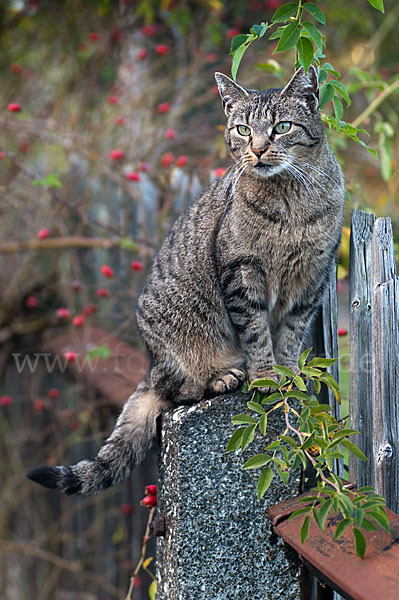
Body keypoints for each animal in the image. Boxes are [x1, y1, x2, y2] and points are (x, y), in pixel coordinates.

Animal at [28, 65, 346, 496]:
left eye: (281, 127)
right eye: (243, 130)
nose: (258, 149)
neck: (290, 200)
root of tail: (152, 365)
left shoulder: (313, 277)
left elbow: (291, 335)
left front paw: (288, 374)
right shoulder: (241, 271)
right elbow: (256, 332)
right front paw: (266, 376)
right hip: (176, 341)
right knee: (180, 391)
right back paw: (223, 375)